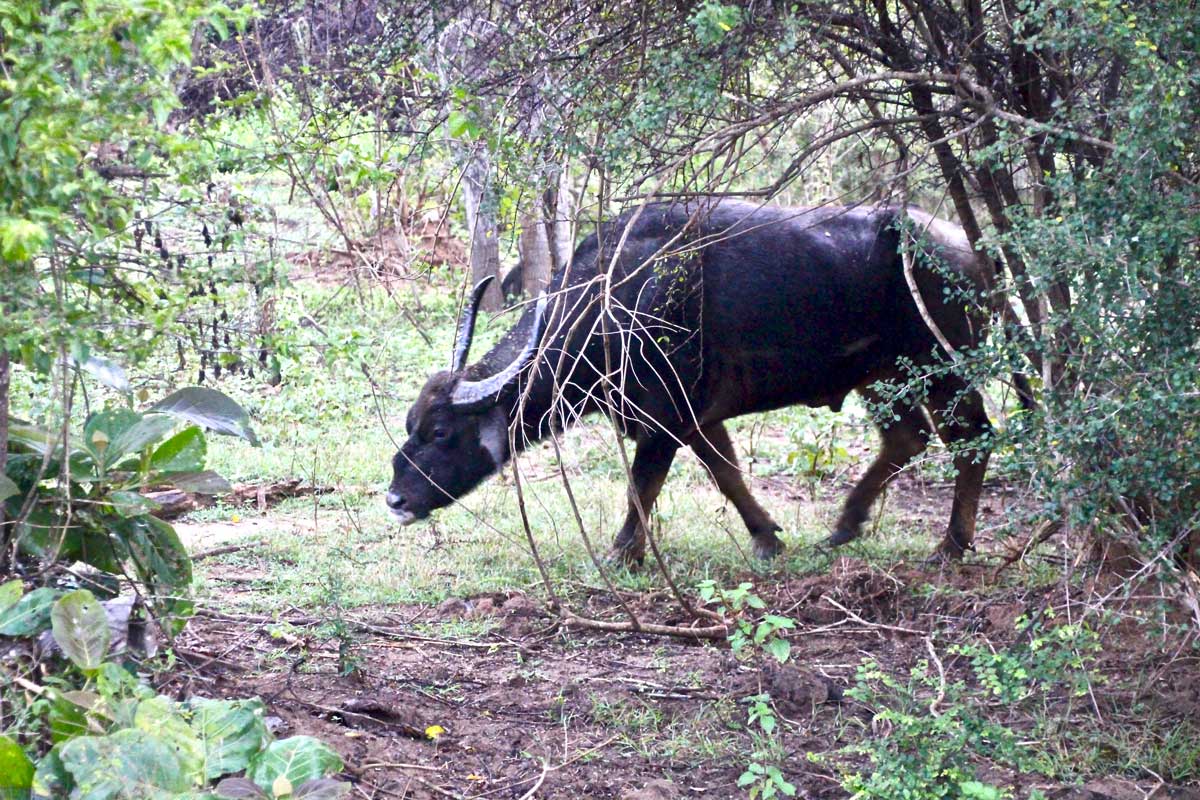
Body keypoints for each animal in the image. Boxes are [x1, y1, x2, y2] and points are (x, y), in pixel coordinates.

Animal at [388, 200, 998, 563]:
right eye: (411, 423)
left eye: (441, 432)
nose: (395, 498)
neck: (613, 302)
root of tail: (971, 253)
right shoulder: (698, 421)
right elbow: (726, 474)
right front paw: (766, 537)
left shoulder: (663, 422)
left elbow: (642, 487)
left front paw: (621, 555)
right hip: (881, 376)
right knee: (907, 438)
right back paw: (844, 526)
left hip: (945, 372)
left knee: (974, 440)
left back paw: (951, 545)